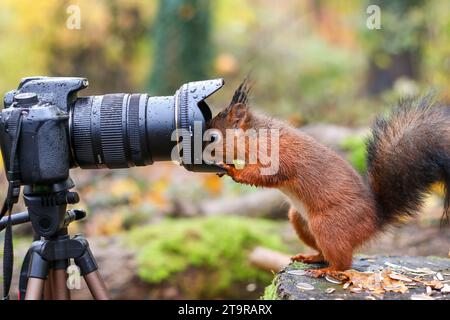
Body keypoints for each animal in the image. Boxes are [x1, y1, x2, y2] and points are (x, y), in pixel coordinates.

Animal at [210, 79, 450, 278]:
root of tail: (376, 218)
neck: (256, 136)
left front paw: (233, 171)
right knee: (324, 253)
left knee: (344, 263)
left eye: (212, 137)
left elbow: (268, 175)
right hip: (300, 221)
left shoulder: (279, 156)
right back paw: (311, 258)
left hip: (329, 226)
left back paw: (327, 270)